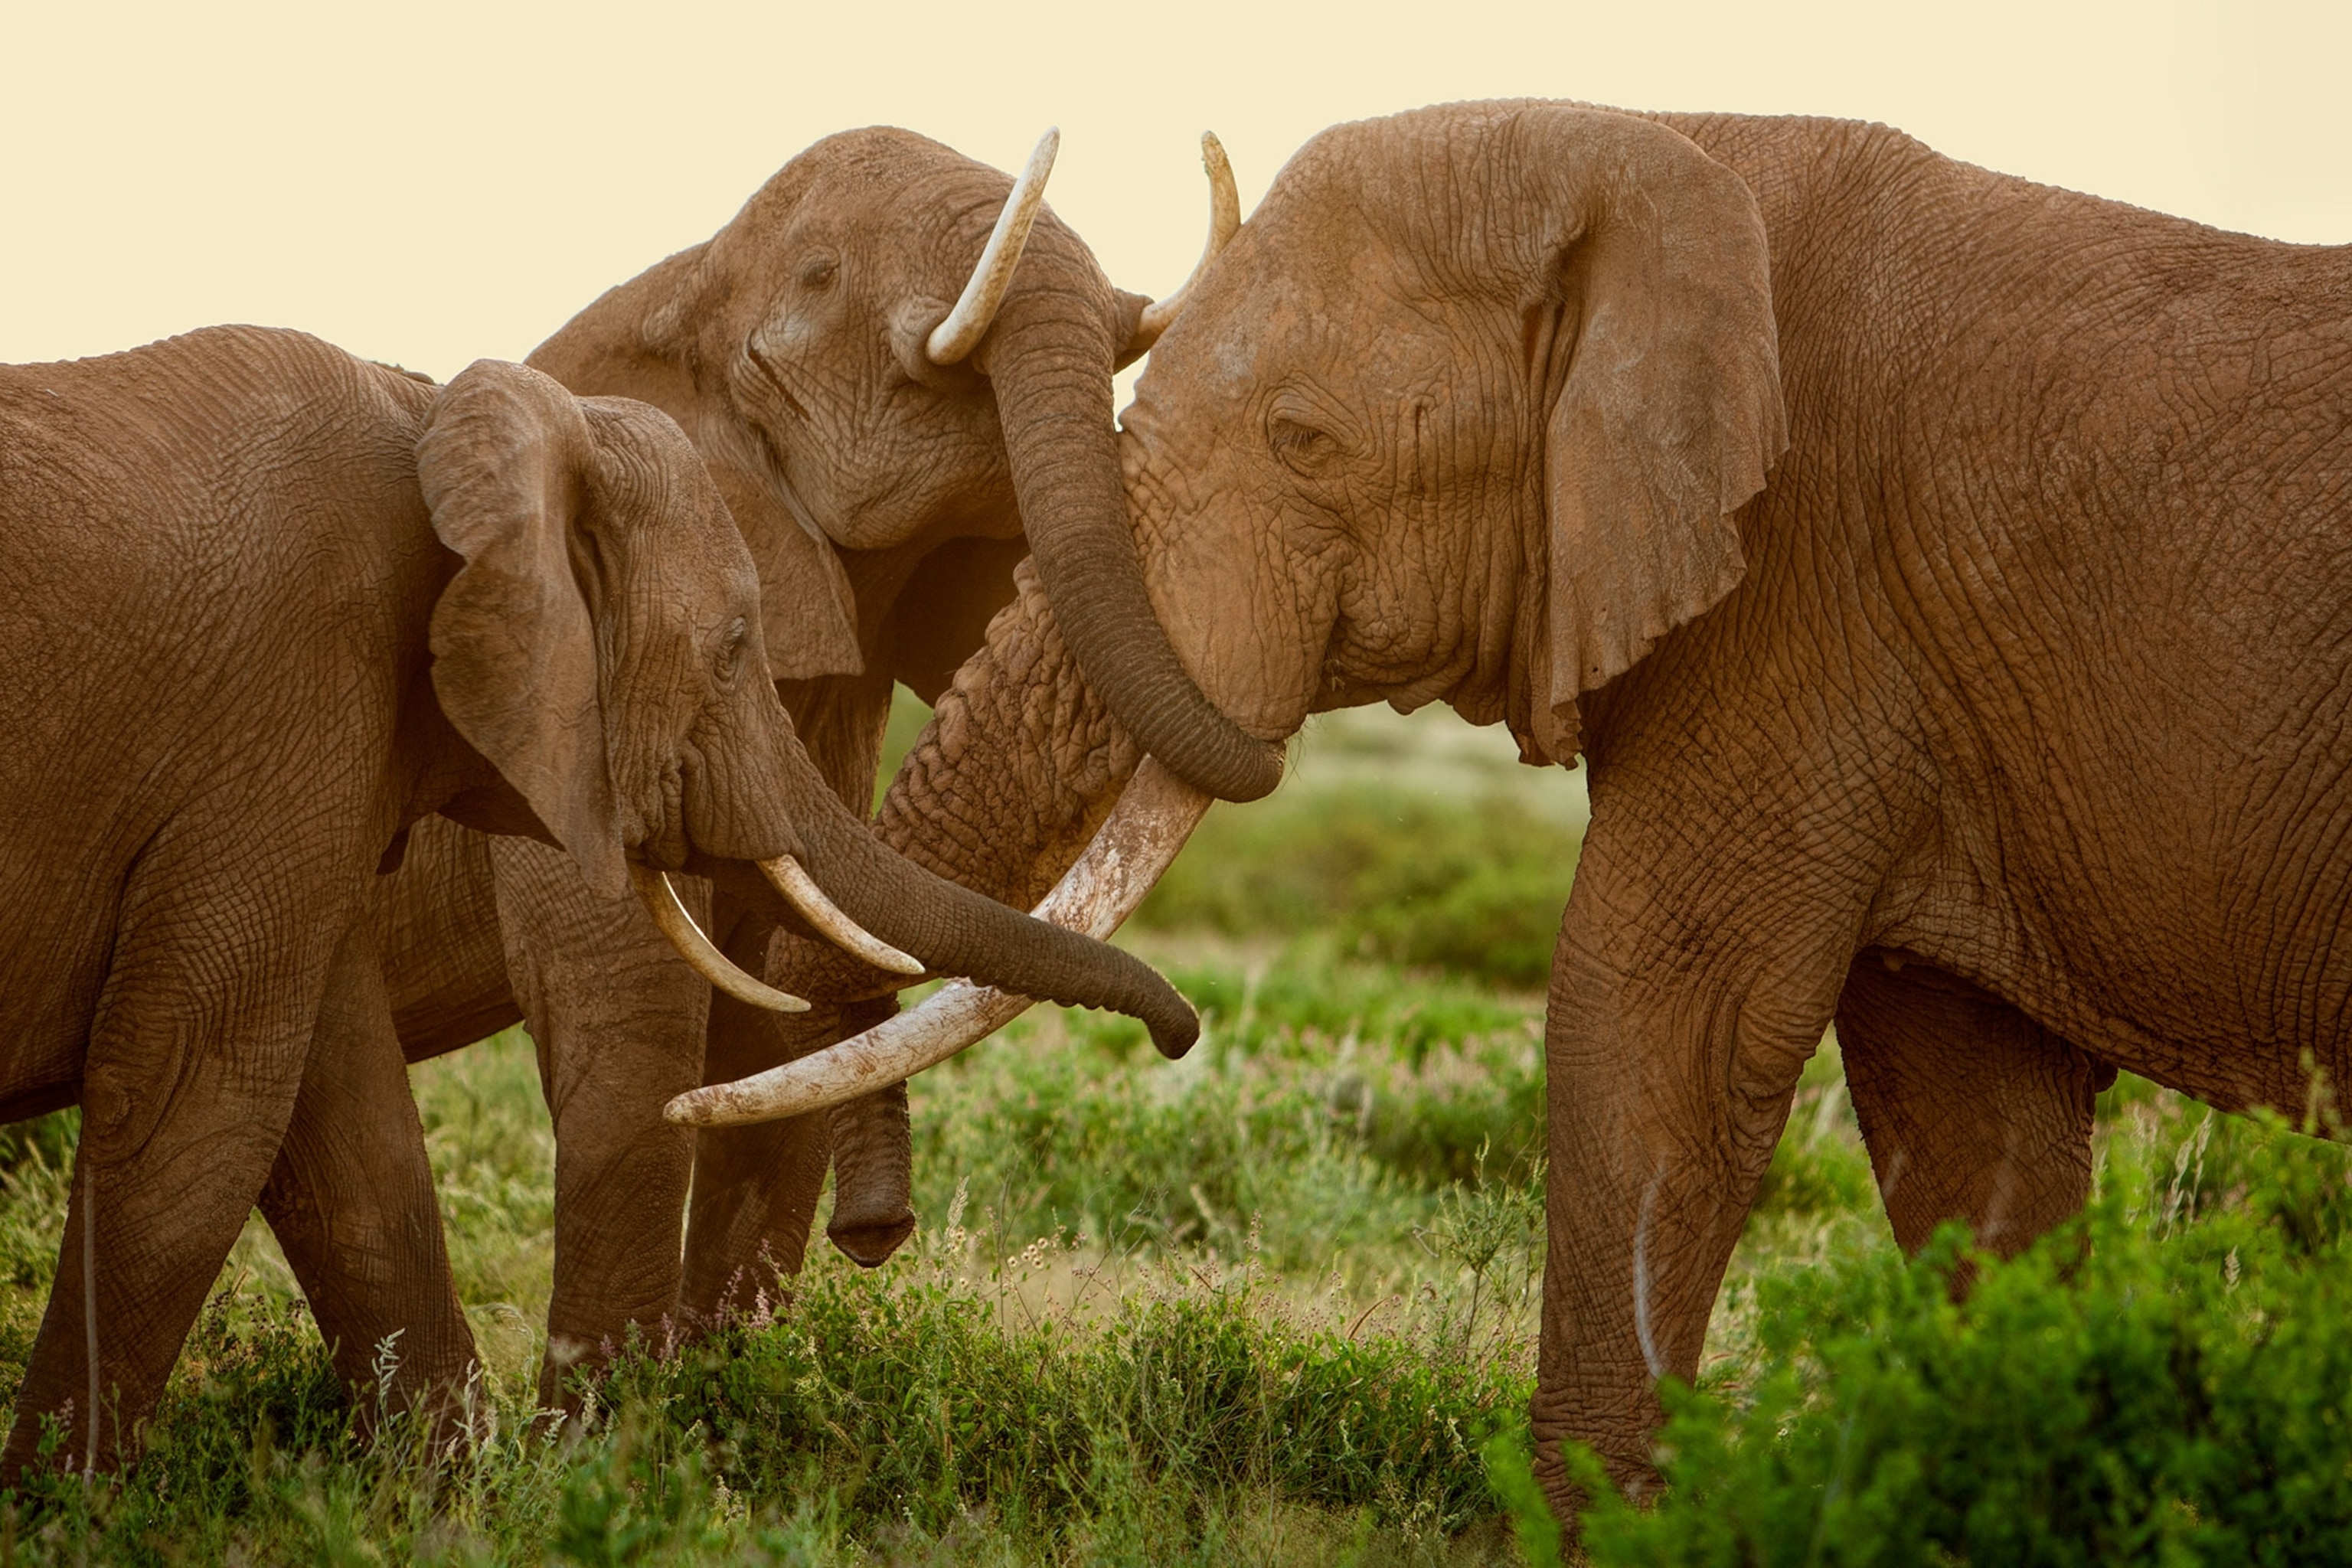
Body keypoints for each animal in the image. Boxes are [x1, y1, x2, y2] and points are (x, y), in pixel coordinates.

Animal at [0, 325, 1192, 1475]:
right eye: (733, 649)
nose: (1181, 1036)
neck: (463, 424)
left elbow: (341, 1122)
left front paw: (474, 1497)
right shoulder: (287, 710)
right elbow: (198, 1104)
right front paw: (70, 1504)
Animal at [276, 125, 1264, 1412]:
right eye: (823, 275)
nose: (877, 1237)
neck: (679, 282)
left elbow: (782, 1030)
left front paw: (717, 1408)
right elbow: (640, 1022)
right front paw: (599, 1447)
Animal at [690, 100, 2352, 1527]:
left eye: (1303, 442)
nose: (871, 1247)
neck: (1664, 161)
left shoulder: (1799, 603)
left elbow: (1651, 1020)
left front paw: (1598, 1530)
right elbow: (1970, 1129)